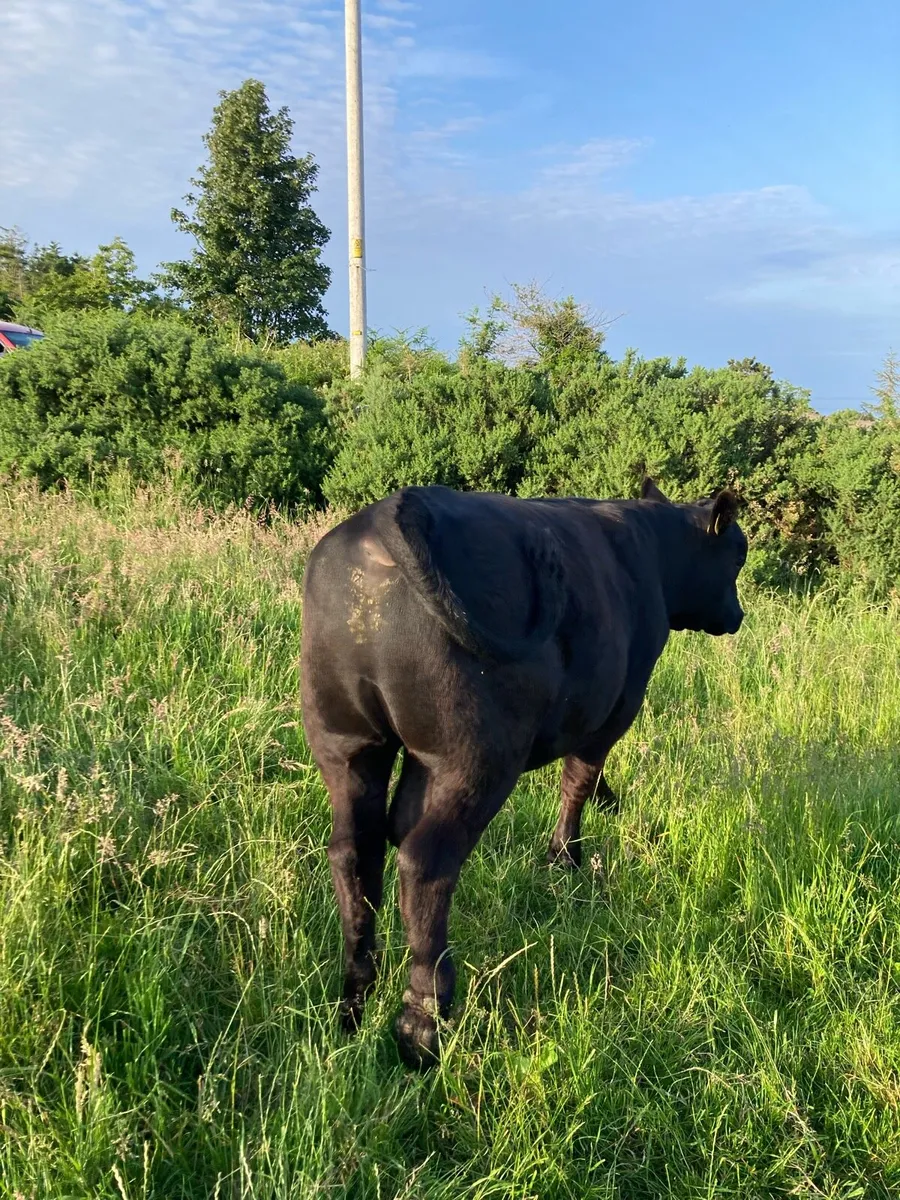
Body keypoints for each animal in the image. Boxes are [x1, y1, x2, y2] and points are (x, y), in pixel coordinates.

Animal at [300, 479, 747, 1068]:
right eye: (737, 558)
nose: (738, 615)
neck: (652, 553)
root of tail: (393, 508)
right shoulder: (614, 707)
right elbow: (579, 777)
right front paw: (566, 856)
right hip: (473, 759)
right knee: (424, 863)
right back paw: (423, 1023)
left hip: (347, 745)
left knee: (355, 854)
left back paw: (354, 997)